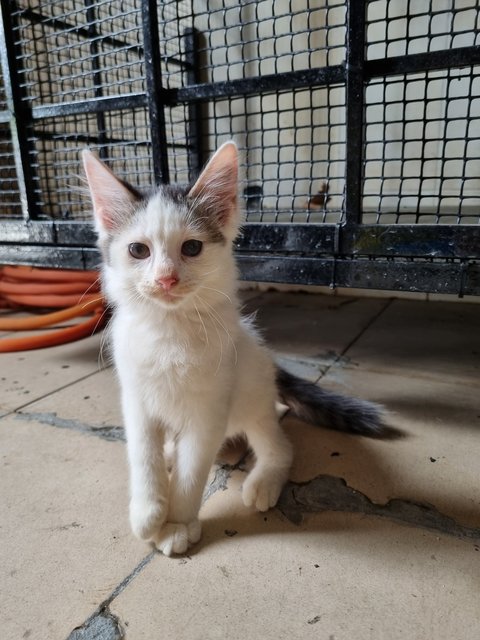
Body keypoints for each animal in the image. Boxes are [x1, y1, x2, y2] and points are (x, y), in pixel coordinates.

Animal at [81, 141, 382, 556]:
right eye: (138, 250)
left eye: (192, 247)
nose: (165, 279)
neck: (169, 331)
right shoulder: (136, 399)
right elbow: (143, 456)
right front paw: (148, 512)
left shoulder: (209, 409)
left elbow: (192, 473)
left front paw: (177, 522)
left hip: (252, 396)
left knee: (279, 446)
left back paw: (263, 481)